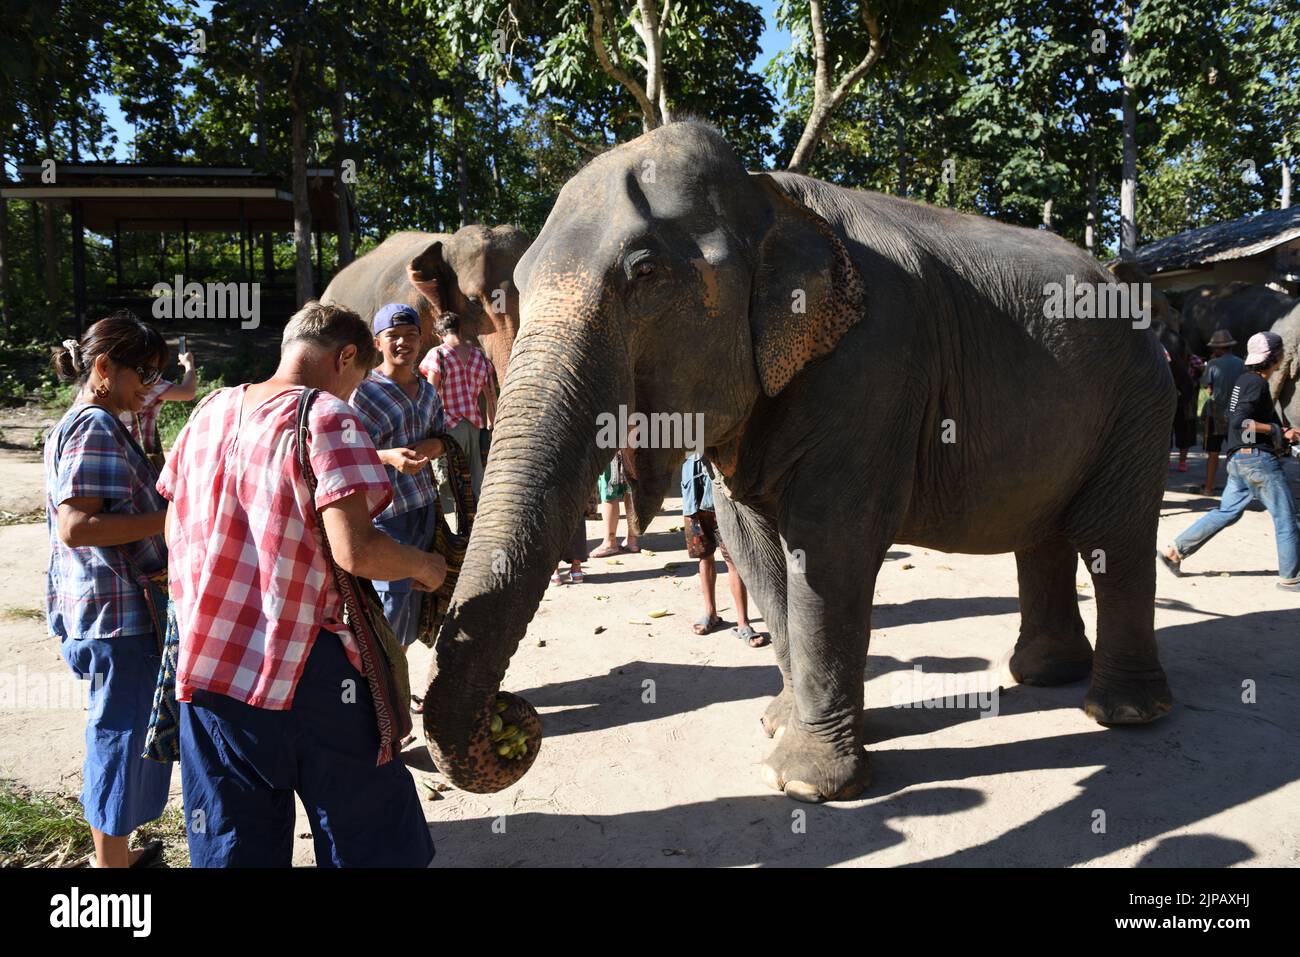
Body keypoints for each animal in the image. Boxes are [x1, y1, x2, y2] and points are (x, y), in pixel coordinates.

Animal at [421, 123, 1175, 806]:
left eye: (644, 274)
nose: (513, 715)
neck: (769, 197)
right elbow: (751, 544)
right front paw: (778, 726)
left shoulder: (874, 367)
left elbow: (829, 546)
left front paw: (806, 783)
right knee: (1043, 535)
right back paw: (1044, 675)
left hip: (1140, 400)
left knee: (1111, 539)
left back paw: (1121, 713)